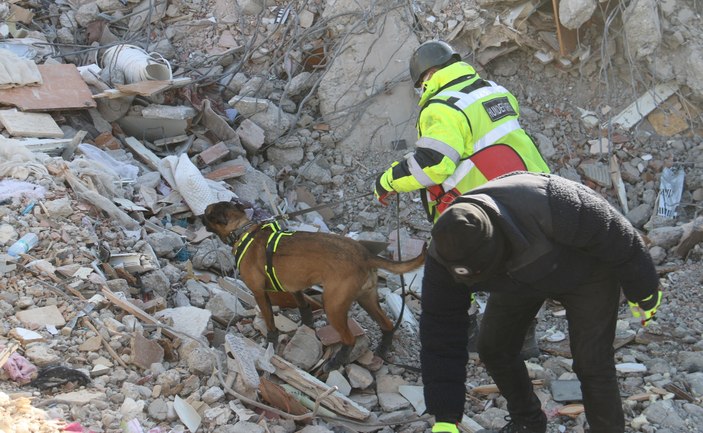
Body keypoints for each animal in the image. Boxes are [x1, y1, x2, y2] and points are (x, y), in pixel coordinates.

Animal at [201, 201, 426, 370]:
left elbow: (271, 323)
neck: (243, 230)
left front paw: (271, 342)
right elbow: (304, 307)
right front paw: (308, 326)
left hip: (334, 306)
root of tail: (365, 255)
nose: (198, 217)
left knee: (350, 339)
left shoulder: (259, 293)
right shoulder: (294, 287)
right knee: (387, 325)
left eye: (207, 213)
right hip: (367, 299)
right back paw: (382, 350)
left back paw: (336, 362)